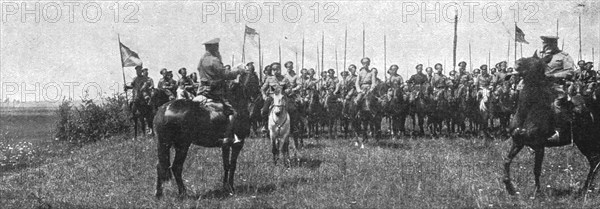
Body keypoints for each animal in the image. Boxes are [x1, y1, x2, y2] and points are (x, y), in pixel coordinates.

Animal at [502, 53, 600, 197]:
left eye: (532, 61)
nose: (517, 63)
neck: (529, 110)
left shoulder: (539, 146)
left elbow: (536, 169)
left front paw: (536, 192)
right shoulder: (518, 142)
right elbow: (506, 161)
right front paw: (510, 188)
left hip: (588, 141)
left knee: (595, 161)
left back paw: (586, 188)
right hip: (583, 142)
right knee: (594, 161)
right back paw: (585, 188)